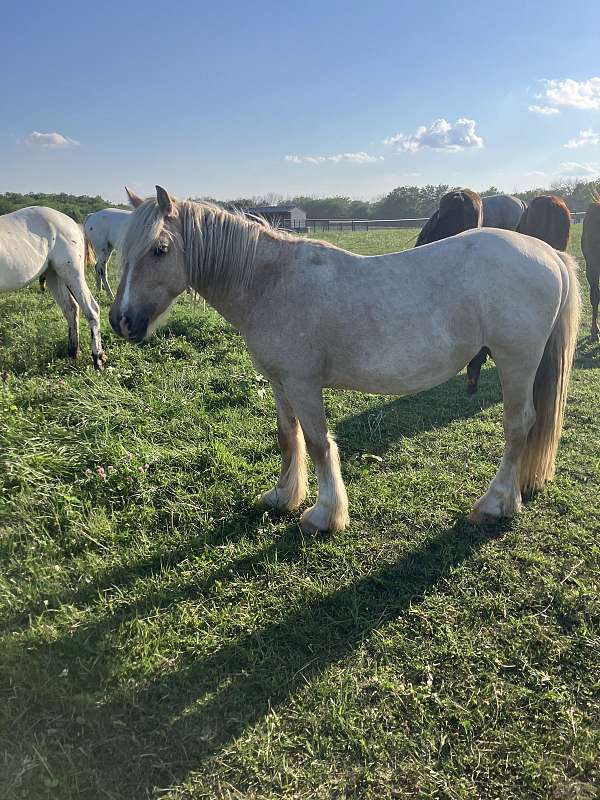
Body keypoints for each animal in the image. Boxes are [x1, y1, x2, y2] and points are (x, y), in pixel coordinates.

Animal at [0, 206, 106, 369]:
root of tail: (73, 224)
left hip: (72, 273)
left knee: (91, 309)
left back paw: (97, 359)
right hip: (53, 275)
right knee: (71, 308)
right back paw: (73, 353)